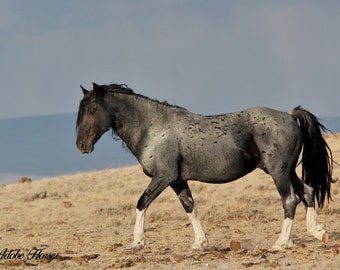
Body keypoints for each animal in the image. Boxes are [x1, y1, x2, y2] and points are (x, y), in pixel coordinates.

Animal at [75, 83, 334, 253]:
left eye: (92, 110)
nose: (81, 146)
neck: (153, 128)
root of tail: (289, 115)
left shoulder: (163, 177)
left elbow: (142, 203)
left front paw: (138, 242)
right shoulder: (177, 181)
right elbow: (190, 207)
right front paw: (200, 243)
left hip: (279, 172)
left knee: (290, 200)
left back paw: (281, 243)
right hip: (285, 171)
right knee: (307, 192)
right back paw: (318, 232)